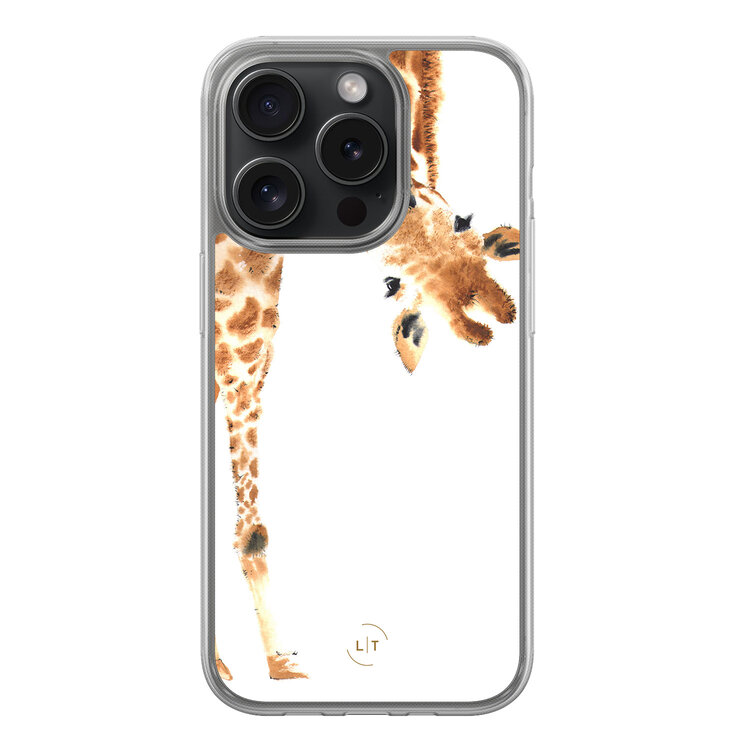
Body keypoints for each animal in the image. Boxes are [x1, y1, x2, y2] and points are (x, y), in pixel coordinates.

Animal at [213, 50, 520, 681]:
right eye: (389, 282)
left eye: (463, 220)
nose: (490, 317)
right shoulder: (234, 351)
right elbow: (250, 529)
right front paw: (277, 665)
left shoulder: (248, 355)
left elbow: (248, 526)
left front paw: (273, 663)